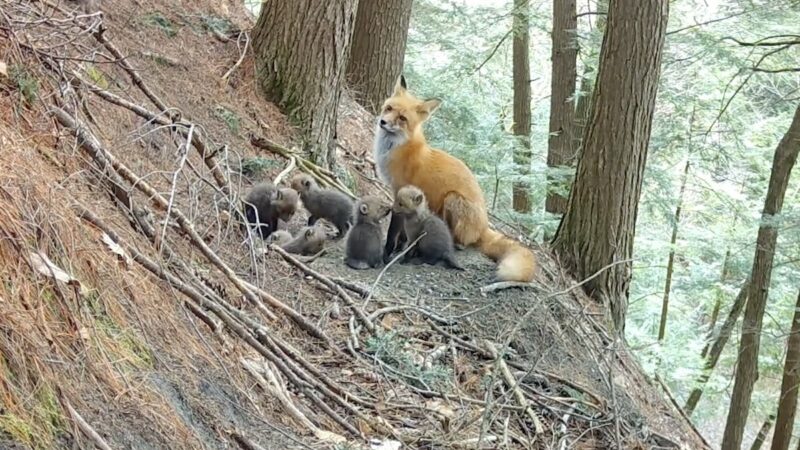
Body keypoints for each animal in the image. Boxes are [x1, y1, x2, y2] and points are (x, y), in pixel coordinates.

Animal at [376, 76, 536, 282]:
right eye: (389, 108)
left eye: (402, 119)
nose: (382, 122)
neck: (395, 148)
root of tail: (484, 226)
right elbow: (404, 233)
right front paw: (401, 248)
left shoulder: (399, 191)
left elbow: (393, 231)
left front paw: (388, 252)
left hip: (452, 198)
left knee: (461, 240)